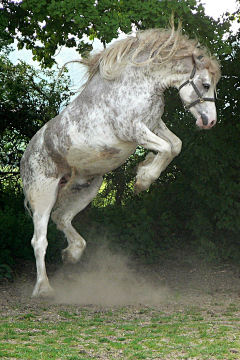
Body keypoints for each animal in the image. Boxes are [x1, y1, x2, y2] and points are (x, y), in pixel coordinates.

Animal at [20, 25, 221, 298]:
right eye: (205, 84)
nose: (210, 122)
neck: (138, 81)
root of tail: (25, 157)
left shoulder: (153, 124)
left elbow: (175, 145)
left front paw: (144, 168)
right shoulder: (132, 129)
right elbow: (166, 148)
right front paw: (143, 180)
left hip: (88, 187)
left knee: (62, 217)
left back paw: (73, 253)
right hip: (43, 195)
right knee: (39, 240)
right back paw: (44, 288)